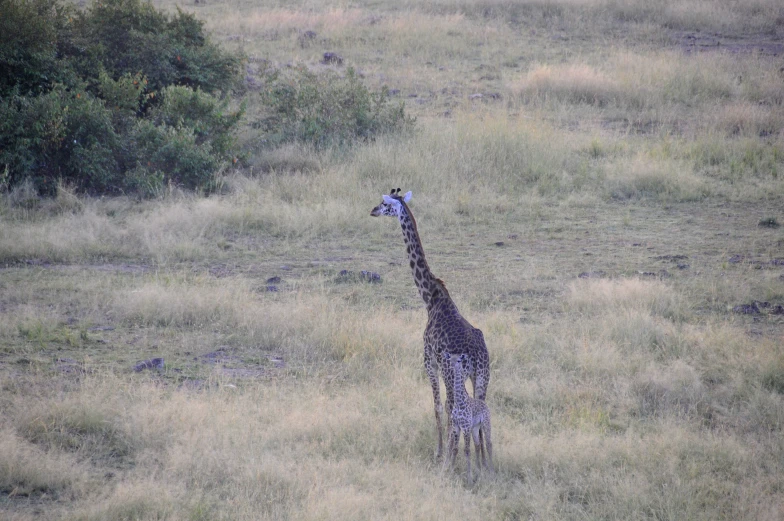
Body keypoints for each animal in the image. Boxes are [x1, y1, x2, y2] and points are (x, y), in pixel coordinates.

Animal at [372, 188, 490, 460]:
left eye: (384, 203)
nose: (372, 211)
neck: (430, 297)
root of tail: (476, 355)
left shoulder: (428, 360)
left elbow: (437, 405)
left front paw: (438, 450)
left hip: (452, 372)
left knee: (453, 406)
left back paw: (452, 455)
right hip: (482, 376)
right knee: (480, 408)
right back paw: (481, 460)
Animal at [444, 350, 494, 480]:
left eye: (458, 360)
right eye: (450, 359)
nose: (452, 365)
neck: (459, 402)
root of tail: (485, 404)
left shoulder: (465, 427)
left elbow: (466, 450)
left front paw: (469, 477)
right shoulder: (456, 426)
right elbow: (455, 448)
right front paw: (451, 471)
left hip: (486, 424)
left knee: (489, 444)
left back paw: (492, 470)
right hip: (475, 428)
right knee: (477, 444)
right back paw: (479, 469)